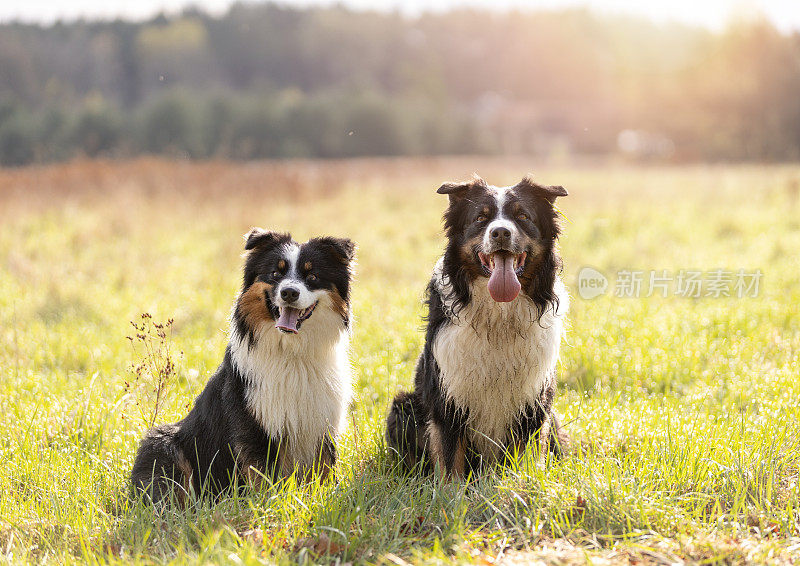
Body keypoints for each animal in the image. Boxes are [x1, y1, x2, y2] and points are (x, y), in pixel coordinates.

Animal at [130, 229, 354, 504]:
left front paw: (318, 497)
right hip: (161, 445)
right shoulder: (255, 424)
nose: (289, 292)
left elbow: (323, 472)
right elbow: (264, 477)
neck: (293, 352)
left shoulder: (322, 422)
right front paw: (270, 505)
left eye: (312, 276)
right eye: (275, 274)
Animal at [388, 176, 568, 480]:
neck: (498, 318)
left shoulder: (533, 403)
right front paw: (451, 492)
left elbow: (524, 458)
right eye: (481, 218)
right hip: (403, 408)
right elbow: (450, 461)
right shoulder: (448, 398)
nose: (501, 233)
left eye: (522, 216)